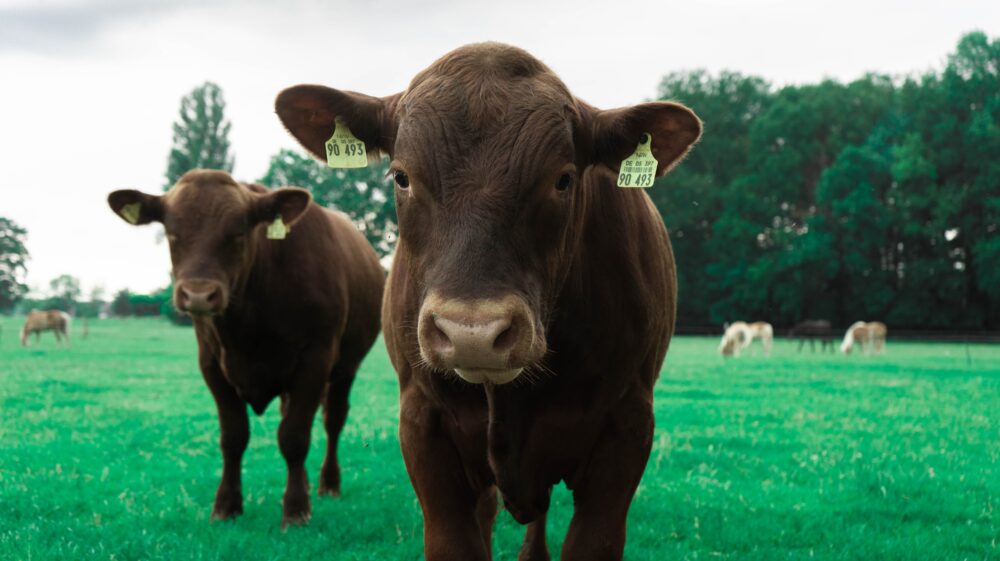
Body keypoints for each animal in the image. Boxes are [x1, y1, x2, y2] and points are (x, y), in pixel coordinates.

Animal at [107, 170, 384, 527]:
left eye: (238, 233)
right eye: (172, 232)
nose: (198, 294)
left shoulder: (316, 360)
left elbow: (294, 436)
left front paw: (296, 509)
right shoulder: (212, 364)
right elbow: (233, 436)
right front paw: (227, 505)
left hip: (347, 367)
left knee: (332, 419)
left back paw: (328, 484)